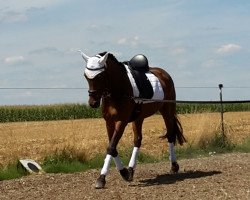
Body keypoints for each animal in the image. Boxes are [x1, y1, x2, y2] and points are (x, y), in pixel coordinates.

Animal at [78, 50, 186, 189]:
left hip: (167, 111)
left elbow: (111, 147)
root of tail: (164, 74)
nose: (93, 103)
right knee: (137, 140)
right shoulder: (109, 122)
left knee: (170, 135)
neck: (118, 91)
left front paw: (102, 178)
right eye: (85, 76)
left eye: (100, 75)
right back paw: (131, 169)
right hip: (138, 118)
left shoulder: (121, 121)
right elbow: (113, 147)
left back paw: (173, 166)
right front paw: (124, 172)